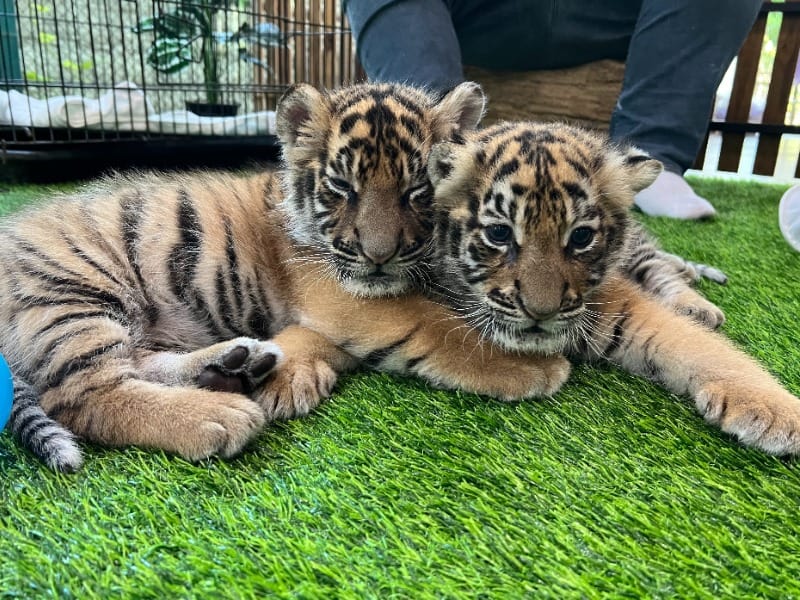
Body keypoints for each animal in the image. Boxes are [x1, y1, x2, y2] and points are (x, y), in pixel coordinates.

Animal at [417, 120, 800, 455]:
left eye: (581, 237)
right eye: (499, 233)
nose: (540, 312)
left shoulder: (624, 307)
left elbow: (703, 347)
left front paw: (779, 414)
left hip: (638, 250)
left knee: (658, 265)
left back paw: (696, 304)